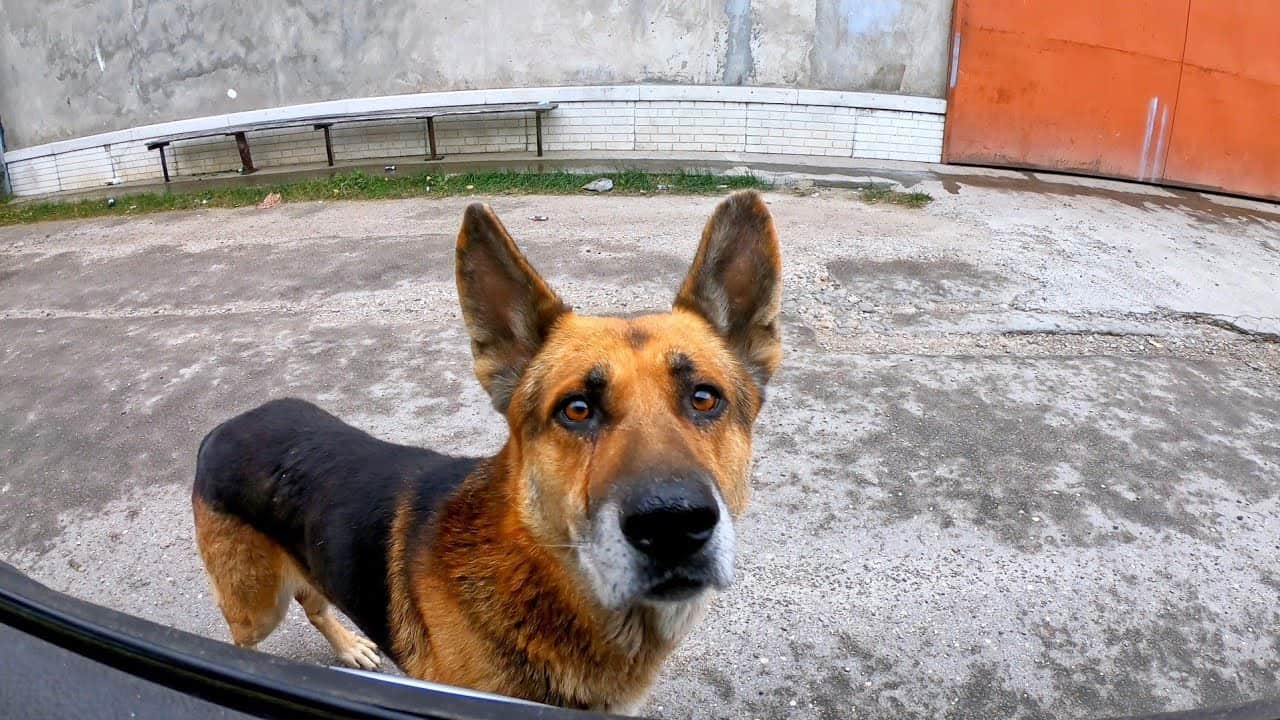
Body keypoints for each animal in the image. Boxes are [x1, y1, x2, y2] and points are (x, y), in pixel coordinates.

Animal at [194, 188, 783, 707]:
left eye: (704, 398)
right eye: (576, 409)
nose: (672, 524)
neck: (537, 573)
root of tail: (225, 427)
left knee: (314, 600)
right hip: (255, 607)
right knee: (250, 634)